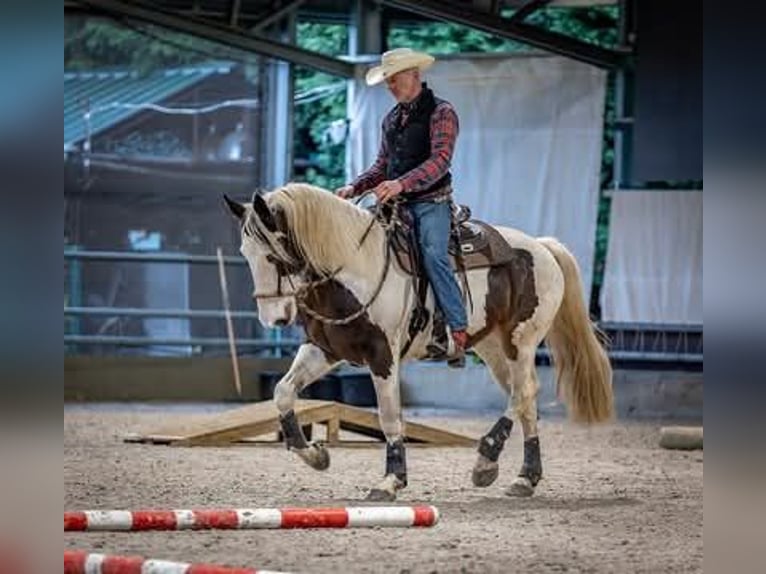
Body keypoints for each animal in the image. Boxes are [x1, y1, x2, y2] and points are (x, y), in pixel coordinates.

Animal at [224, 182, 613, 501]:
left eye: (272, 256)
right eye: (244, 253)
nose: (273, 319)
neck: (354, 268)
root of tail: (542, 247)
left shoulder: (383, 356)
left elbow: (389, 417)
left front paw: (390, 481)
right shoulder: (324, 350)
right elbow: (283, 391)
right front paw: (315, 454)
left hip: (522, 340)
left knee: (526, 392)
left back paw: (485, 458)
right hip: (492, 347)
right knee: (524, 398)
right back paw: (524, 478)